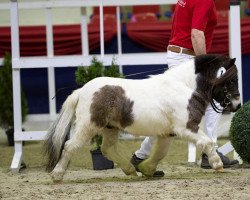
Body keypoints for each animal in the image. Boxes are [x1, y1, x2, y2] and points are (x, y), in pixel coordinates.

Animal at [44, 54, 241, 182]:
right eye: (231, 80)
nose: (237, 104)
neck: (184, 86)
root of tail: (81, 91)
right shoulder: (186, 127)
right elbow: (207, 141)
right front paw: (217, 164)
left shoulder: (167, 132)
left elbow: (160, 152)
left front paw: (147, 170)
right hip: (89, 126)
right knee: (70, 146)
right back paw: (57, 175)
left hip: (110, 128)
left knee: (107, 149)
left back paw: (130, 170)